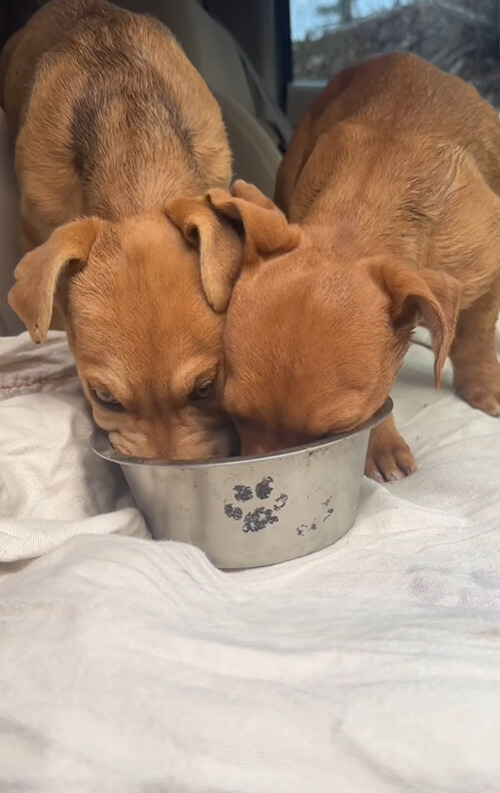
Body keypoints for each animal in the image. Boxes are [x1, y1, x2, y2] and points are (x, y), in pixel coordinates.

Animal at [182, 55, 500, 480]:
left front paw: (483, 383)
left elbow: (476, 336)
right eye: (234, 415)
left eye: (336, 432)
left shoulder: (488, 269)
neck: (360, 211)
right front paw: (380, 444)